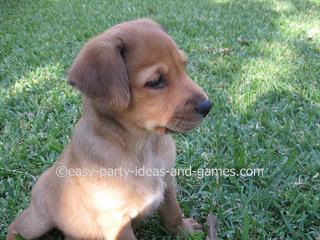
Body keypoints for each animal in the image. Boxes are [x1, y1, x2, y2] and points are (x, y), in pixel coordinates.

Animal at [6, 19, 211, 240]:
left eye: (184, 66)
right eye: (155, 82)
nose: (208, 106)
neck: (144, 146)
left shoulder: (167, 184)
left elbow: (173, 213)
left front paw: (184, 231)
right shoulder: (117, 220)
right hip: (37, 220)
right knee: (14, 227)